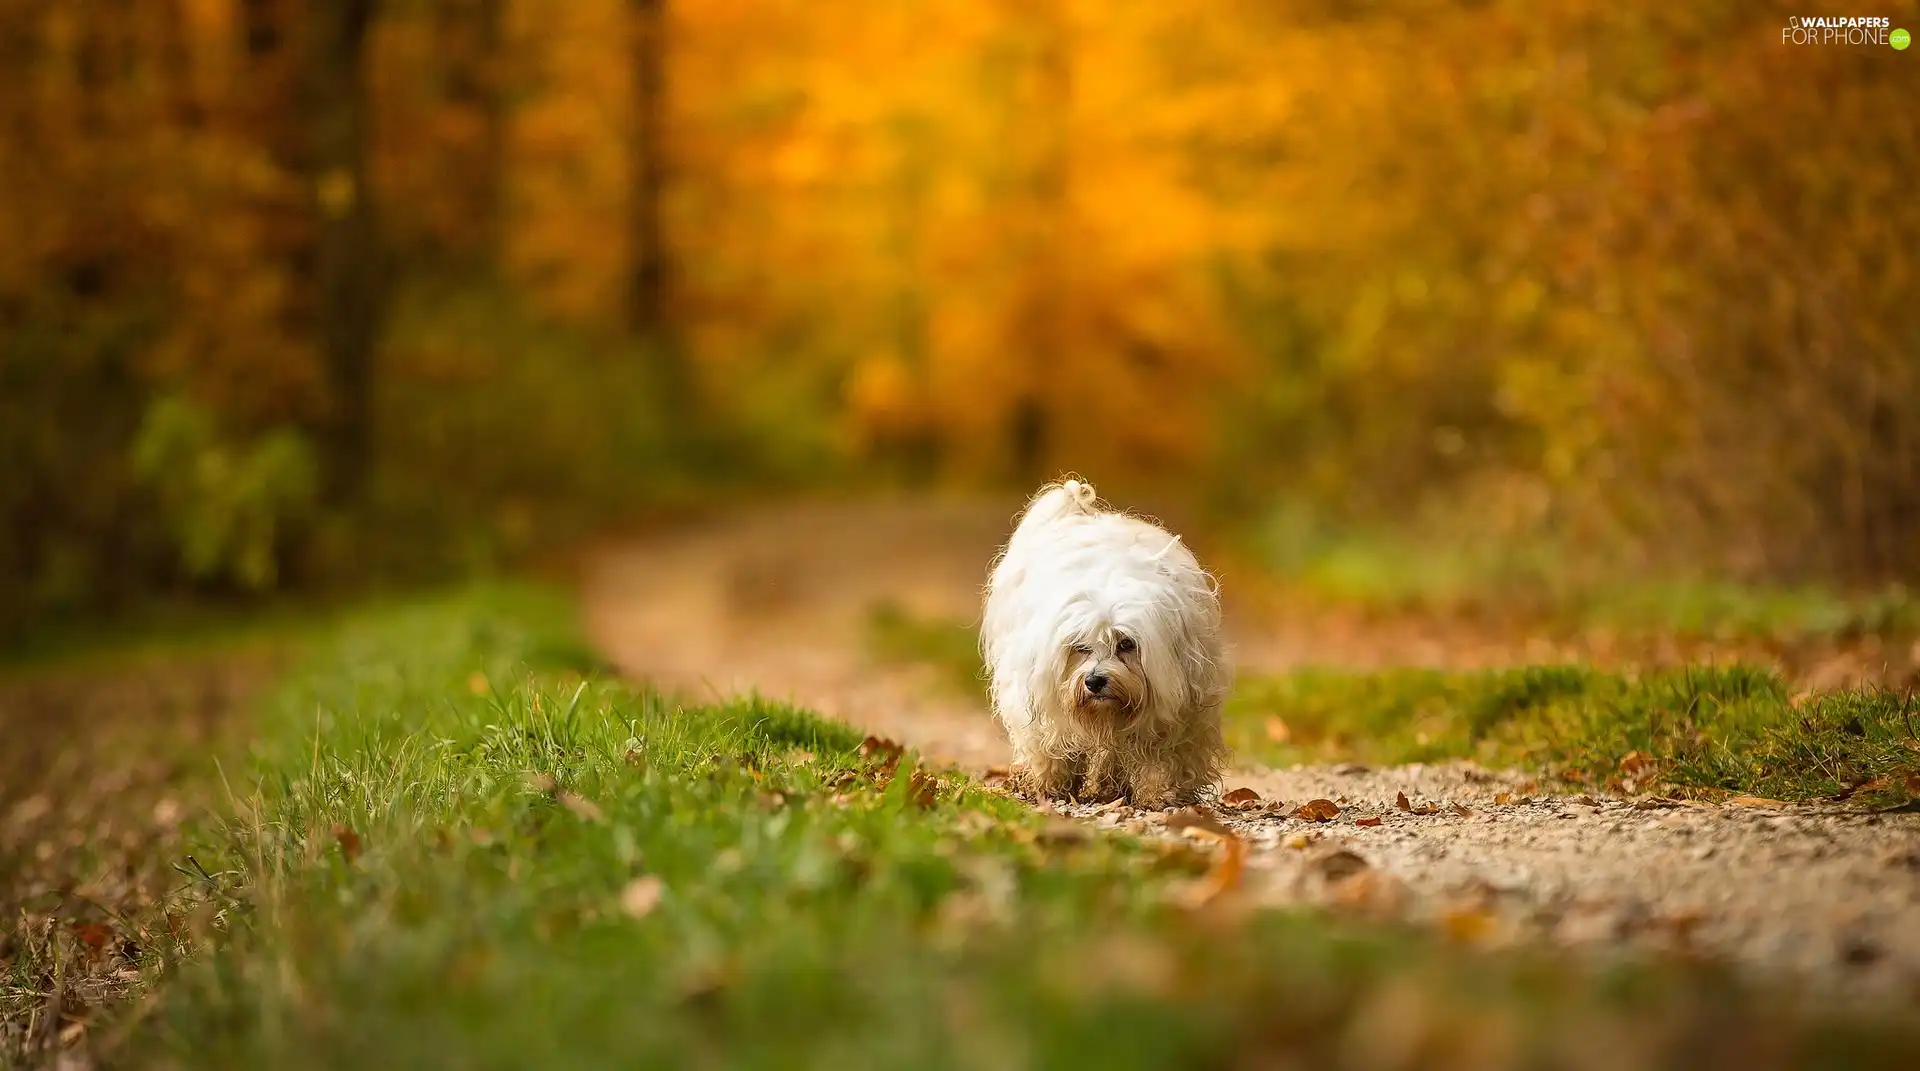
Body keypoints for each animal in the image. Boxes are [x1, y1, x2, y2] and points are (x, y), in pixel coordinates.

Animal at [975, 483, 1228, 809]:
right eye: (1080, 646)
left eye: (1126, 644)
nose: (1094, 681)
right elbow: (1049, 746)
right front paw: (1048, 785)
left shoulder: (1177, 710)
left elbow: (1160, 754)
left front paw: (1159, 792)